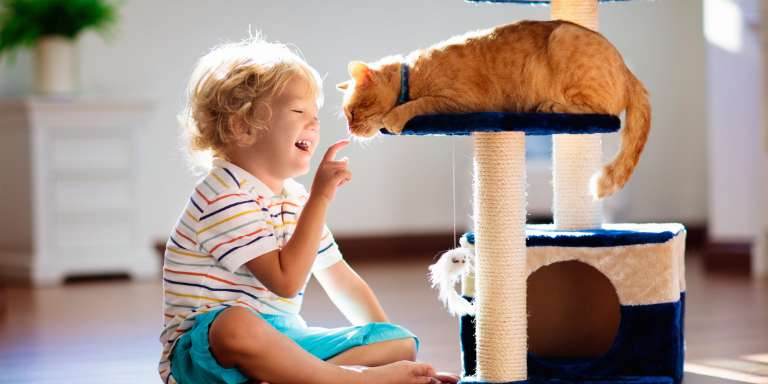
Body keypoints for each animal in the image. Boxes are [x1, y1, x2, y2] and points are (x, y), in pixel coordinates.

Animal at [336, 18, 648, 198]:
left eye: (352, 112)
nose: (350, 129)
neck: (411, 75)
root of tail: (630, 73)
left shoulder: (460, 101)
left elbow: (419, 103)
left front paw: (395, 117)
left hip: (564, 39)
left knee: (599, 112)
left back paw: (550, 106)